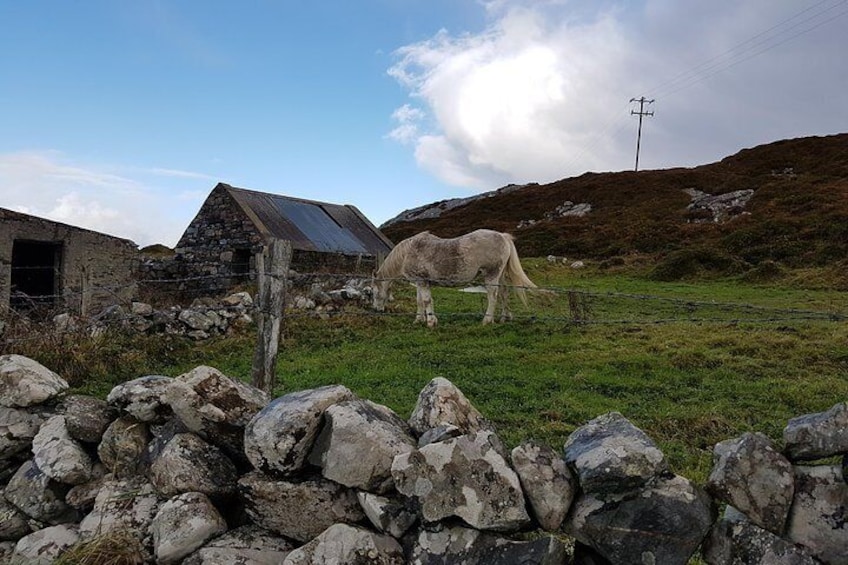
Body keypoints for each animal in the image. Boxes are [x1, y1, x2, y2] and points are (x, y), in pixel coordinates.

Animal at [372, 229, 536, 326]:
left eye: (373, 292)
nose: (376, 310)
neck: (406, 253)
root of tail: (503, 236)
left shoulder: (422, 282)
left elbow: (426, 301)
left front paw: (431, 322)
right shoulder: (420, 282)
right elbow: (420, 301)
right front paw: (419, 320)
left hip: (491, 275)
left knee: (493, 296)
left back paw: (487, 320)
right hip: (500, 276)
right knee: (504, 293)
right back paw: (505, 318)